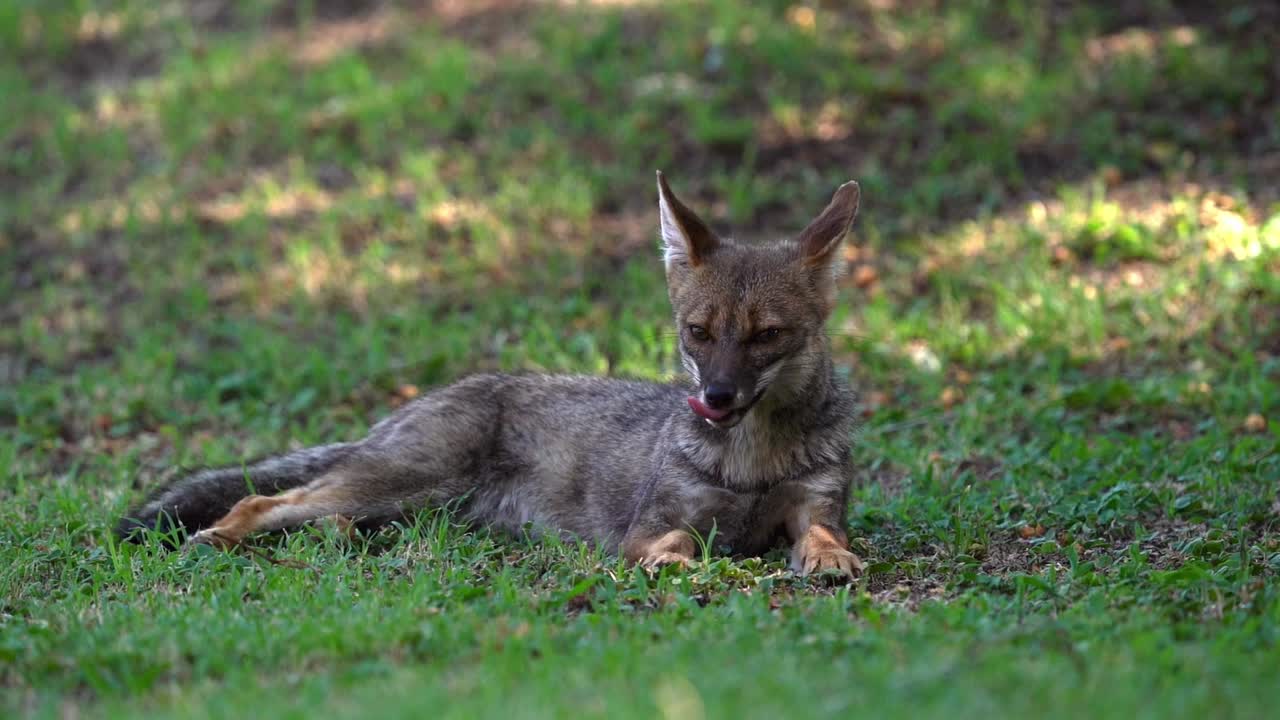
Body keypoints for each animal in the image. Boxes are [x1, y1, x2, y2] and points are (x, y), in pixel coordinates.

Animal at [117, 172, 866, 579]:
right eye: (698, 333)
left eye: (767, 336)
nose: (715, 396)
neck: (752, 464)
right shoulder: (652, 521)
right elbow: (672, 540)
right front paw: (673, 564)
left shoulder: (812, 505)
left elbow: (826, 533)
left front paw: (830, 559)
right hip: (404, 483)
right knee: (262, 499)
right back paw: (221, 537)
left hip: (411, 501)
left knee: (320, 512)